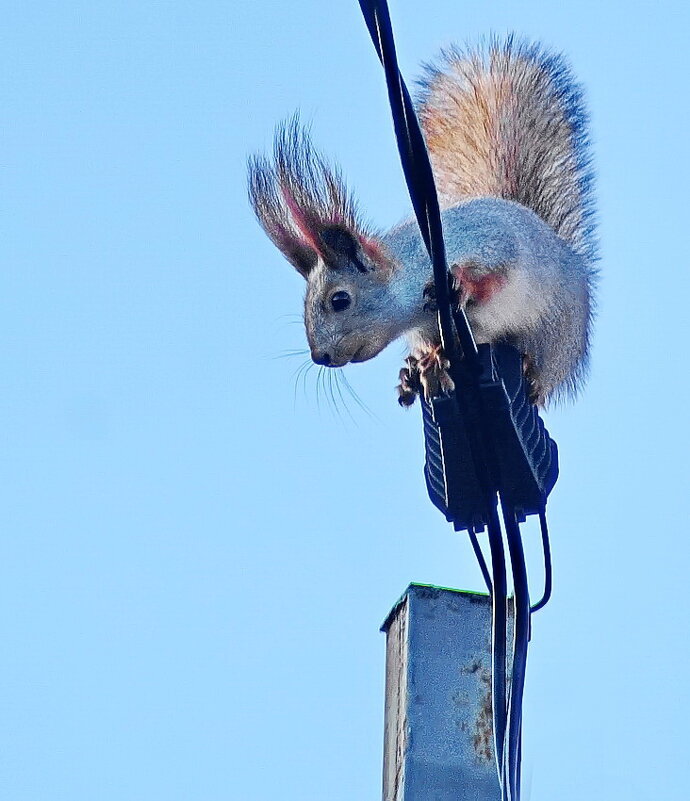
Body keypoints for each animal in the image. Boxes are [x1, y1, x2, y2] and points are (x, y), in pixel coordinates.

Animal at [249, 36, 596, 406]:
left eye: (340, 300)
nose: (321, 357)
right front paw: (428, 361)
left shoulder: (489, 242)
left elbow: (496, 273)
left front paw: (463, 285)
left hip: (554, 334)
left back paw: (531, 371)